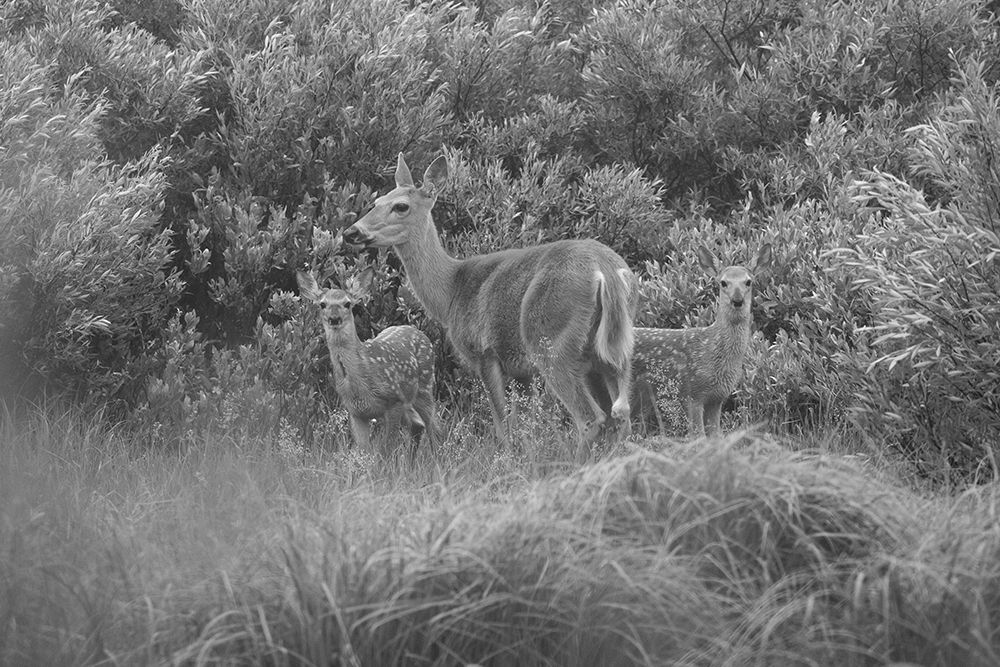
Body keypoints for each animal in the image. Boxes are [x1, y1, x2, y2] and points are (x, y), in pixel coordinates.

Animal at [296, 267, 441, 458]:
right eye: (322, 304)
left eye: (347, 303)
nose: (334, 318)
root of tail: (421, 333)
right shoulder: (356, 412)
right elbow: (363, 450)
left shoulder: (394, 400)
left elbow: (387, 449)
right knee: (418, 425)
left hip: (425, 387)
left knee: (435, 429)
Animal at [343, 153, 638, 458]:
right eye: (377, 201)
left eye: (401, 206)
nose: (351, 232)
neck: (451, 291)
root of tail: (606, 271)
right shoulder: (522, 371)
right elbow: (526, 424)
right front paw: (527, 456)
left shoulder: (484, 352)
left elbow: (501, 424)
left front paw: (507, 458)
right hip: (608, 351)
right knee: (621, 415)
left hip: (551, 340)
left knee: (592, 418)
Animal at [631, 244, 773, 437]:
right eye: (723, 282)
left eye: (748, 281)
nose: (737, 300)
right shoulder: (691, 393)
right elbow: (698, 437)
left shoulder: (717, 398)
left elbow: (716, 436)